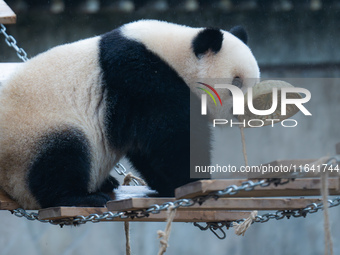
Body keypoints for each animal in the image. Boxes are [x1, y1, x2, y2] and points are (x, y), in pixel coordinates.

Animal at [0, 20, 258, 209]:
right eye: (236, 81)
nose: (246, 111)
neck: (174, 54)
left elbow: (146, 148)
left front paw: (169, 186)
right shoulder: (142, 77)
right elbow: (172, 137)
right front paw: (194, 182)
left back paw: (105, 183)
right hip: (33, 136)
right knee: (60, 158)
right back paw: (80, 197)